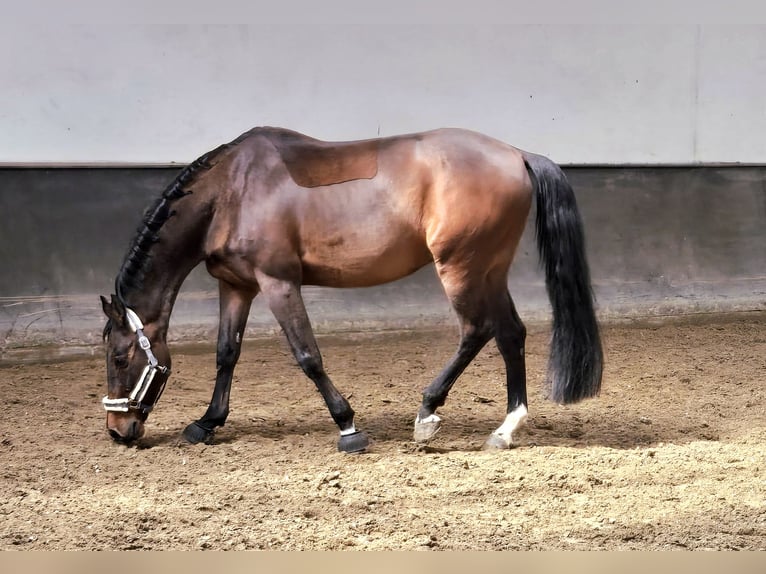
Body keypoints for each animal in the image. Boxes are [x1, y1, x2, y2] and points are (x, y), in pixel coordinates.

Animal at [100, 126, 602, 453]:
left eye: (120, 357)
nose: (117, 430)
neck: (232, 192)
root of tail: (516, 153)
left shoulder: (278, 283)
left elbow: (308, 355)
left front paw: (348, 427)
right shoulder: (237, 286)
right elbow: (227, 353)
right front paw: (207, 423)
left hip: (462, 267)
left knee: (477, 330)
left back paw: (428, 414)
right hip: (488, 270)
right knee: (510, 333)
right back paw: (505, 427)